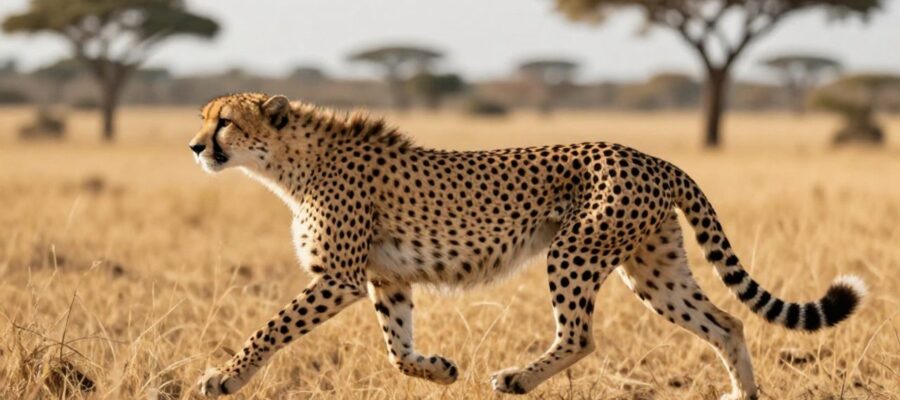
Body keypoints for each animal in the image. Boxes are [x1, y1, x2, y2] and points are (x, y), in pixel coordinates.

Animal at [188, 92, 866, 399]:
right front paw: (438, 370)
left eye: (224, 122)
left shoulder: (340, 278)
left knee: (581, 336)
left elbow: (270, 328)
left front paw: (224, 377)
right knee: (727, 322)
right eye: (204, 119)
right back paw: (742, 394)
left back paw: (516, 377)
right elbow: (396, 350)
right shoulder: (388, 278)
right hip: (654, 267)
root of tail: (651, 156)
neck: (288, 164)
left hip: (575, 249)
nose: (195, 147)